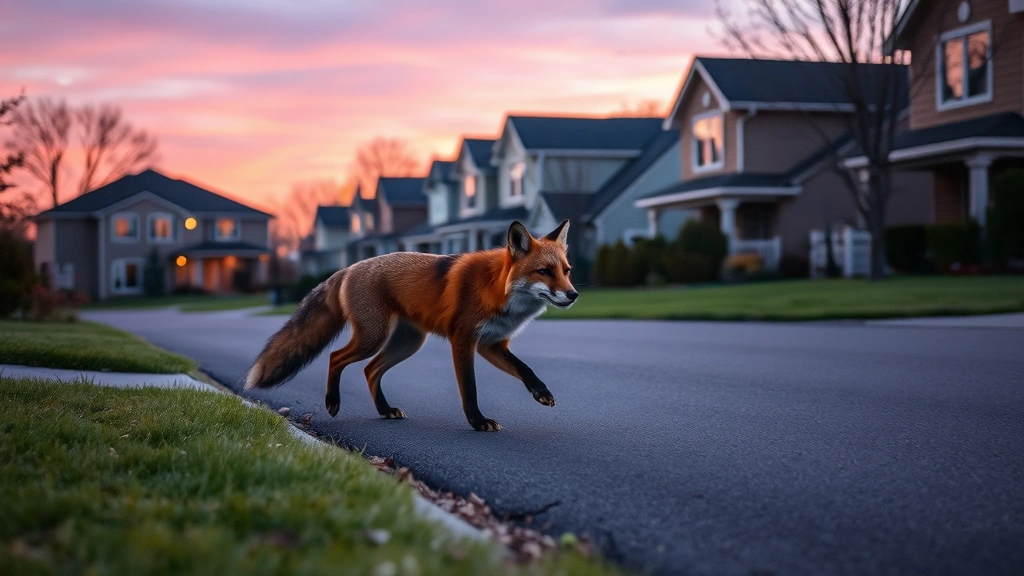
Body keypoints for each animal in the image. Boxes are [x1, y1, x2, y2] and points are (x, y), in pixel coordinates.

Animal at [244, 220, 578, 431]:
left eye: (566, 271)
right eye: (544, 271)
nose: (573, 295)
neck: (496, 288)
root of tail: (348, 268)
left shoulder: (491, 344)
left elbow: (525, 368)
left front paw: (541, 392)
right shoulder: (463, 340)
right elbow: (469, 388)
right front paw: (478, 422)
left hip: (407, 343)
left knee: (370, 370)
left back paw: (384, 410)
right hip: (374, 337)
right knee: (336, 357)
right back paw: (332, 402)